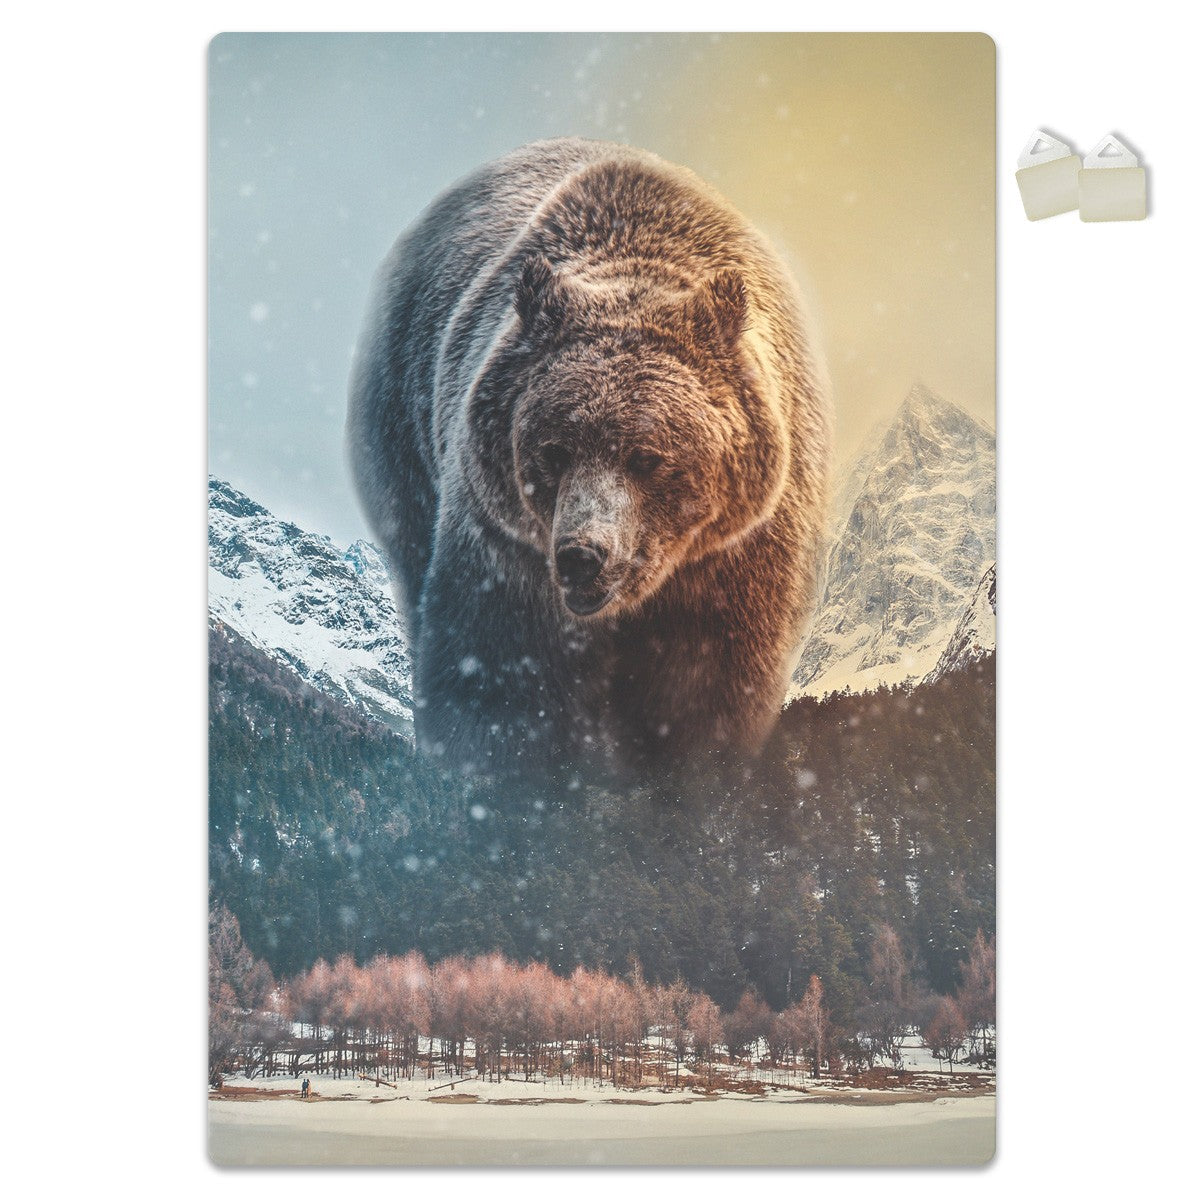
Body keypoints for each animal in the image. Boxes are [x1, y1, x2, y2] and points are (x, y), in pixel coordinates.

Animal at [348, 138, 831, 776]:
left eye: (648, 457)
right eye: (553, 451)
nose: (582, 556)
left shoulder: (739, 559)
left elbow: (709, 696)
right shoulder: (506, 545)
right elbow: (496, 678)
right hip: (401, 431)